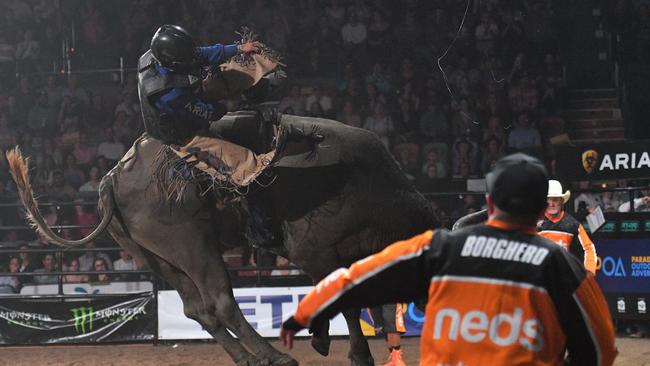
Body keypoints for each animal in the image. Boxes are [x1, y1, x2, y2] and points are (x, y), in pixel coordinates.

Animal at [6, 115, 440, 366]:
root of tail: (113, 178)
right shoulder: (316, 250)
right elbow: (344, 300)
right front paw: (352, 352)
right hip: (193, 244)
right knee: (222, 303)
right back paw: (271, 357)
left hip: (156, 257)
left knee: (199, 309)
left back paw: (248, 358)